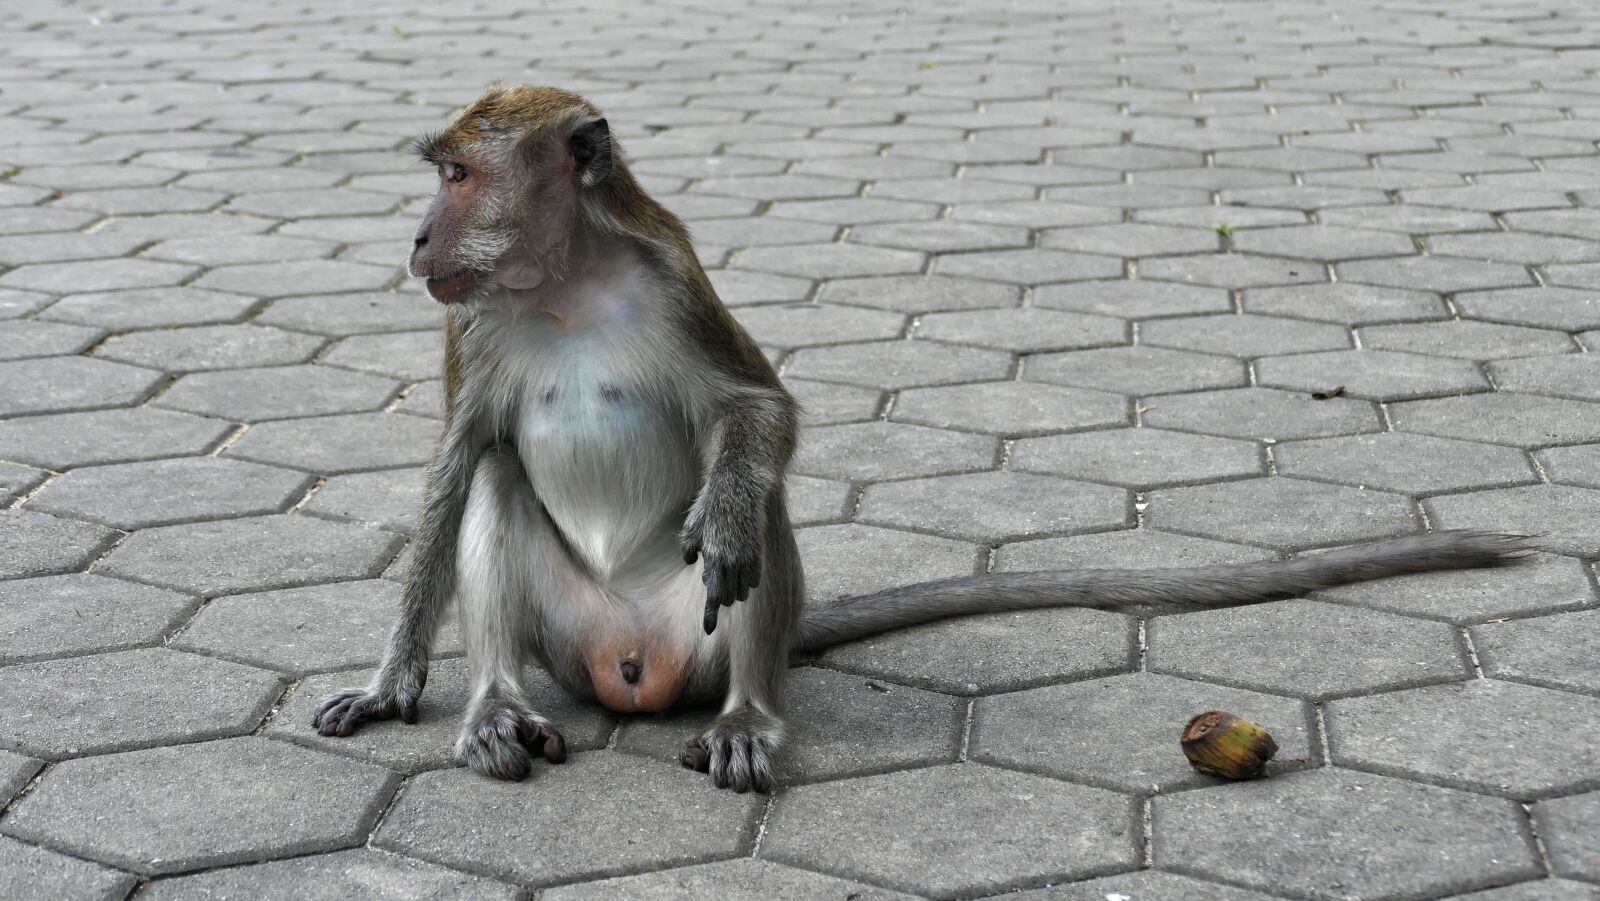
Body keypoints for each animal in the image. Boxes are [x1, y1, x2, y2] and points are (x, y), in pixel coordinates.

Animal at [311, 84, 1529, 794]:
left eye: (457, 174)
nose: (417, 238)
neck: (561, 284)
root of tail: (630, 674)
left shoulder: (671, 275)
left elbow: (760, 414)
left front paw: (729, 500)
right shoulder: (472, 322)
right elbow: (459, 461)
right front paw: (392, 684)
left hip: (686, 635)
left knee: (759, 520)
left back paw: (750, 713)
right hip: (570, 639)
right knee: (499, 477)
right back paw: (494, 707)